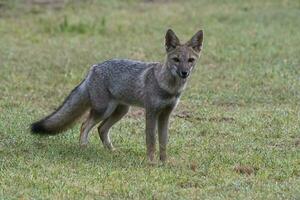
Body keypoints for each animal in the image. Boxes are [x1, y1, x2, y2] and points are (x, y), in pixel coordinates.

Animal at [30, 29, 204, 162]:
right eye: (176, 60)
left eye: (190, 60)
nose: (184, 73)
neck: (168, 87)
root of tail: (94, 67)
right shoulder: (151, 113)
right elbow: (151, 141)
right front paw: (151, 162)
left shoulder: (165, 115)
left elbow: (163, 142)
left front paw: (164, 162)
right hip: (103, 110)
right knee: (85, 125)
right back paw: (83, 148)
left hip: (121, 111)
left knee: (101, 129)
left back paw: (111, 151)